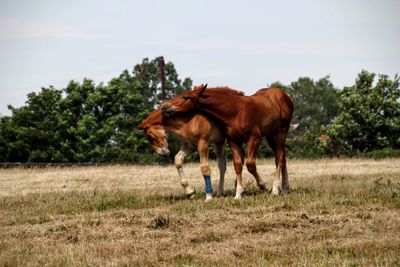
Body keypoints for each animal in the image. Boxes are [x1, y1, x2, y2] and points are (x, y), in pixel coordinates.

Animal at [161, 85, 296, 200]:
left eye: (185, 97)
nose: (164, 106)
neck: (235, 111)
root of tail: (284, 95)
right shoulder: (233, 141)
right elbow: (237, 165)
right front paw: (238, 194)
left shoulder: (254, 138)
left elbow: (250, 164)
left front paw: (264, 186)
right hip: (270, 135)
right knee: (282, 157)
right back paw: (285, 188)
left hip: (281, 132)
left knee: (279, 157)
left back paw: (275, 189)